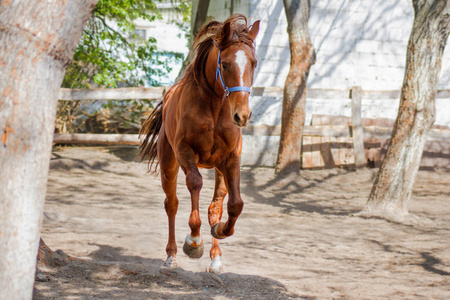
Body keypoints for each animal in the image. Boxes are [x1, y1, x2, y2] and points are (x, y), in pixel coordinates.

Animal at [140, 14, 260, 274]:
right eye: (224, 64)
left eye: (254, 63)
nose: (242, 115)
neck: (214, 107)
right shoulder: (186, 153)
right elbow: (195, 184)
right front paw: (194, 241)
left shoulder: (230, 159)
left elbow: (235, 204)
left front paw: (222, 230)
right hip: (169, 164)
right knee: (172, 204)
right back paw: (172, 256)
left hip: (218, 170)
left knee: (215, 207)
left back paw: (215, 258)